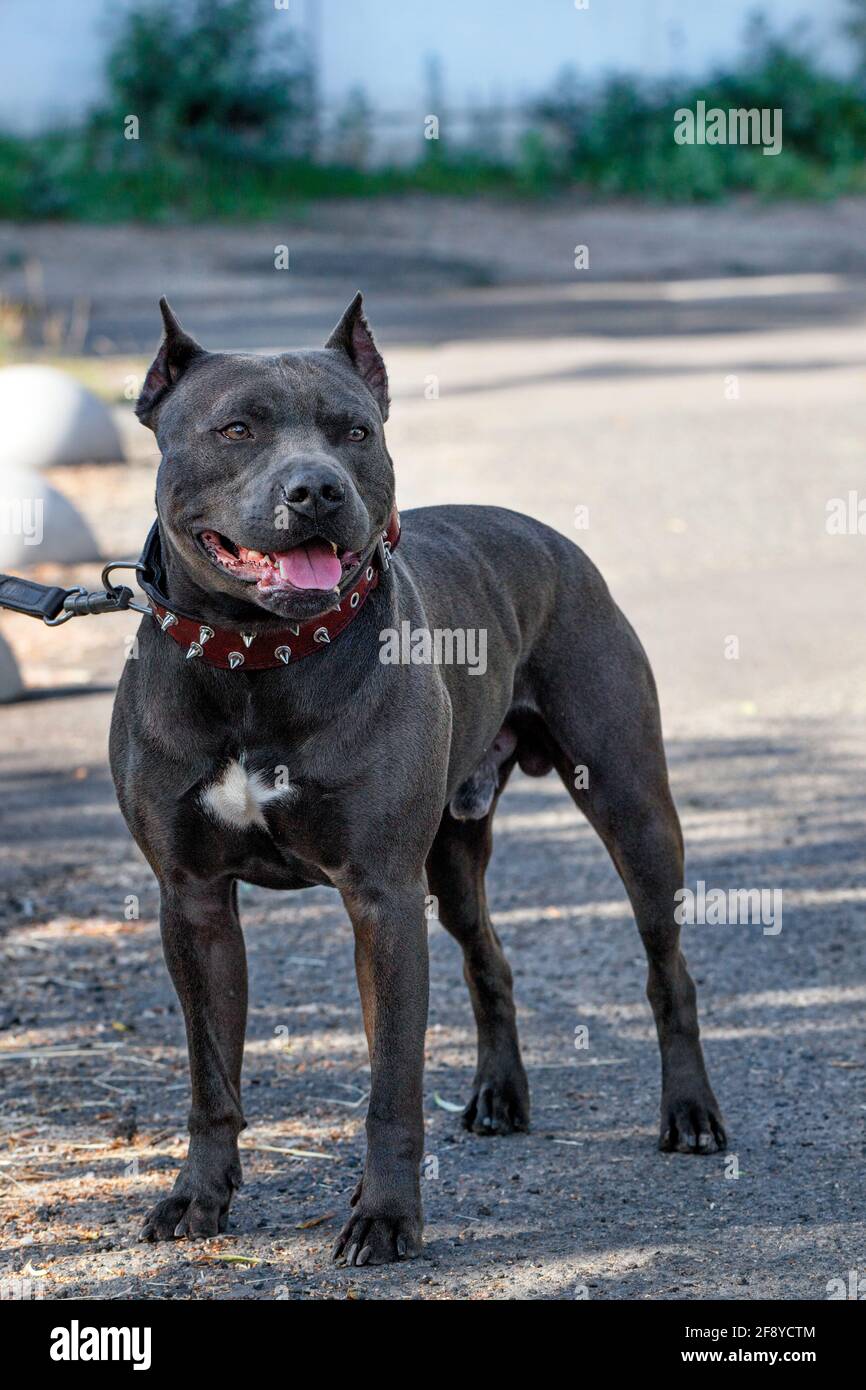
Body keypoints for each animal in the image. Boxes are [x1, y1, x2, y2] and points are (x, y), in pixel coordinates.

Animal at [111, 296, 728, 1273]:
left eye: (354, 431)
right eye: (237, 429)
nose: (316, 490)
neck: (256, 660)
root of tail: (548, 535)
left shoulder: (382, 898)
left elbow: (392, 1085)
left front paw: (386, 1217)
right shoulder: (193, 899)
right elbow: (212, 1077)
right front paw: (197, 1198)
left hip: (633, 810)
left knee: (668, 970)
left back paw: (692, 1113)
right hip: (453, 856)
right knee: (489, 959)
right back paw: (500, 1097)